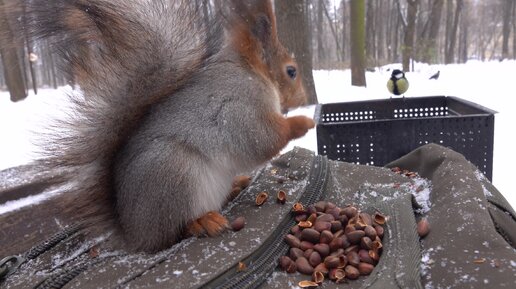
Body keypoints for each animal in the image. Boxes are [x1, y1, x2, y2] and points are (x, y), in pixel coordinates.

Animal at [19, 0, 314, 251]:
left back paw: (236, 186)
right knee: (173, 232)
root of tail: (134, 232)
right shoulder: (237, 105)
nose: (304, 99)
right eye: (291, 71)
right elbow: (260, 139)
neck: (252, 72)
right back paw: (203, 221)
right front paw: (301, 122)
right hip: (173, 174)